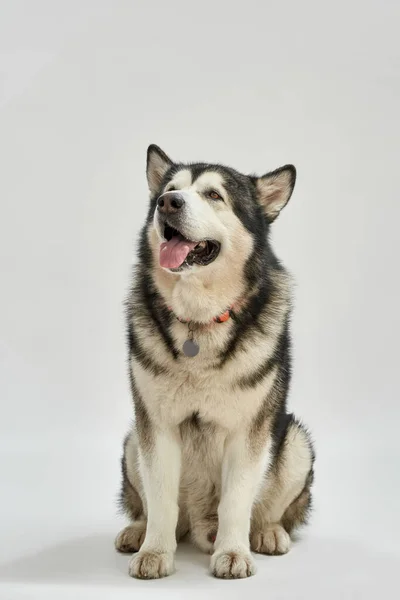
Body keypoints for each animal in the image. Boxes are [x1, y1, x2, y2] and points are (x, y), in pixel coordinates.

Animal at [115, 143, 316, 580]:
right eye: (170, 189)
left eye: (213, 195)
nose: (167, 203)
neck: (198, 321)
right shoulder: (156, 426)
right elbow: (160, 498)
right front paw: (155, 551)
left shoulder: (249, 431)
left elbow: (237, 500)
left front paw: (234, 552)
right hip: (132, 440)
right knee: (155, 508)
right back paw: (137, 531)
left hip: (295, 443)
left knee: (268, 510)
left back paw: (267, 532)